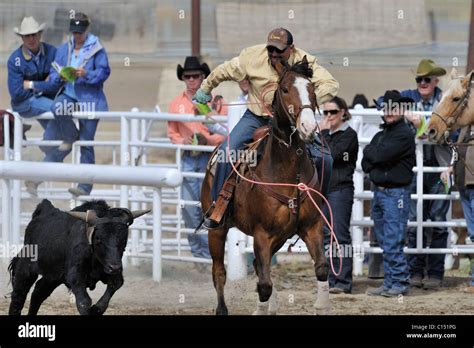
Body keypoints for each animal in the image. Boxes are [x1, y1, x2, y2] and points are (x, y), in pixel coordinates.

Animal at [202, 56, 332, 316]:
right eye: (285, 89)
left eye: (312, 89)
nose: (308, 127)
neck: (289, 172)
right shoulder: (262, 233)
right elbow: (264, 285)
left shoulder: (311, 226)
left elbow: (322, 267)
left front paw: (321, 305)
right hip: (217, 229)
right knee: (219, 271)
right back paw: (222, 309)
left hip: (280, 237)